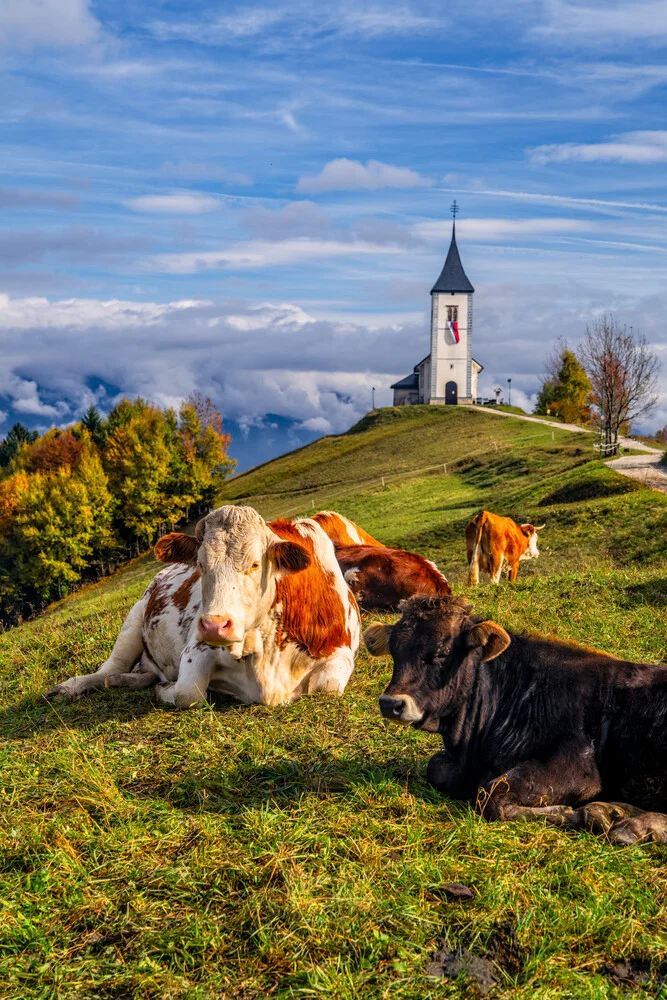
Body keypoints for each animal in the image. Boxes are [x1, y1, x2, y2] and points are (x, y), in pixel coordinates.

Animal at [46, 505, 360, 709]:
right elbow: (188, 693)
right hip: (134, 619)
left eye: (255, 564)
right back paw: (73, 686)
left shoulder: (339, 651)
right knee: (109, 667)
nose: (214, 626)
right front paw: (167, 691)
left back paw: (125, 681)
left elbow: (326, 687)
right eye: (200, 564)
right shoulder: (196, 648)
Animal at [364, 595, 667, 845]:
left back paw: (634, 827)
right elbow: (437, 767)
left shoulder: (578, 767)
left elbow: (492, 796)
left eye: (441, 652)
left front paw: (583, 814)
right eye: (395, 651)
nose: (390, 703)